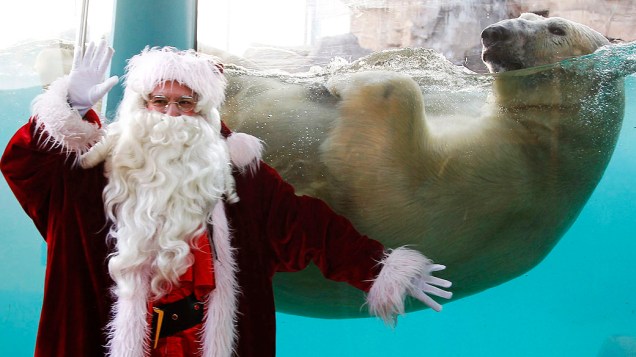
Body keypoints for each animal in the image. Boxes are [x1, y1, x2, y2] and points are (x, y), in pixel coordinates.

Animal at [219, 11, 632, 318]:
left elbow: (391, 188)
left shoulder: (498, 185)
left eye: (556, 29)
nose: (493, 32)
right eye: (524, 15)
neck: (548, 147)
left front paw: (352, 74)